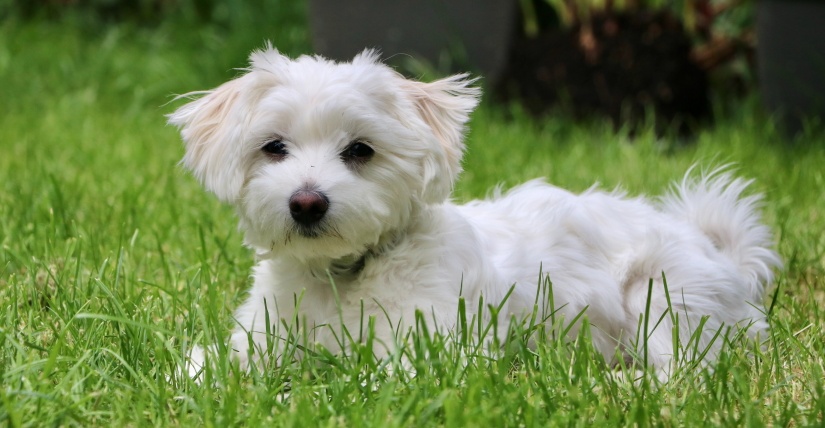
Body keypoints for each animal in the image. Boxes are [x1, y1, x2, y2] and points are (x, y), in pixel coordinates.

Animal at [167, 45, 780, 376]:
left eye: (361, 150)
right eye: (273, 147)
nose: (306, 202)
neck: (343, 277)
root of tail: (721, 255)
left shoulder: (433, 350)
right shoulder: (260, 338)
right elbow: (203, 368)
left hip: (663, 297)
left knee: (682, 371)